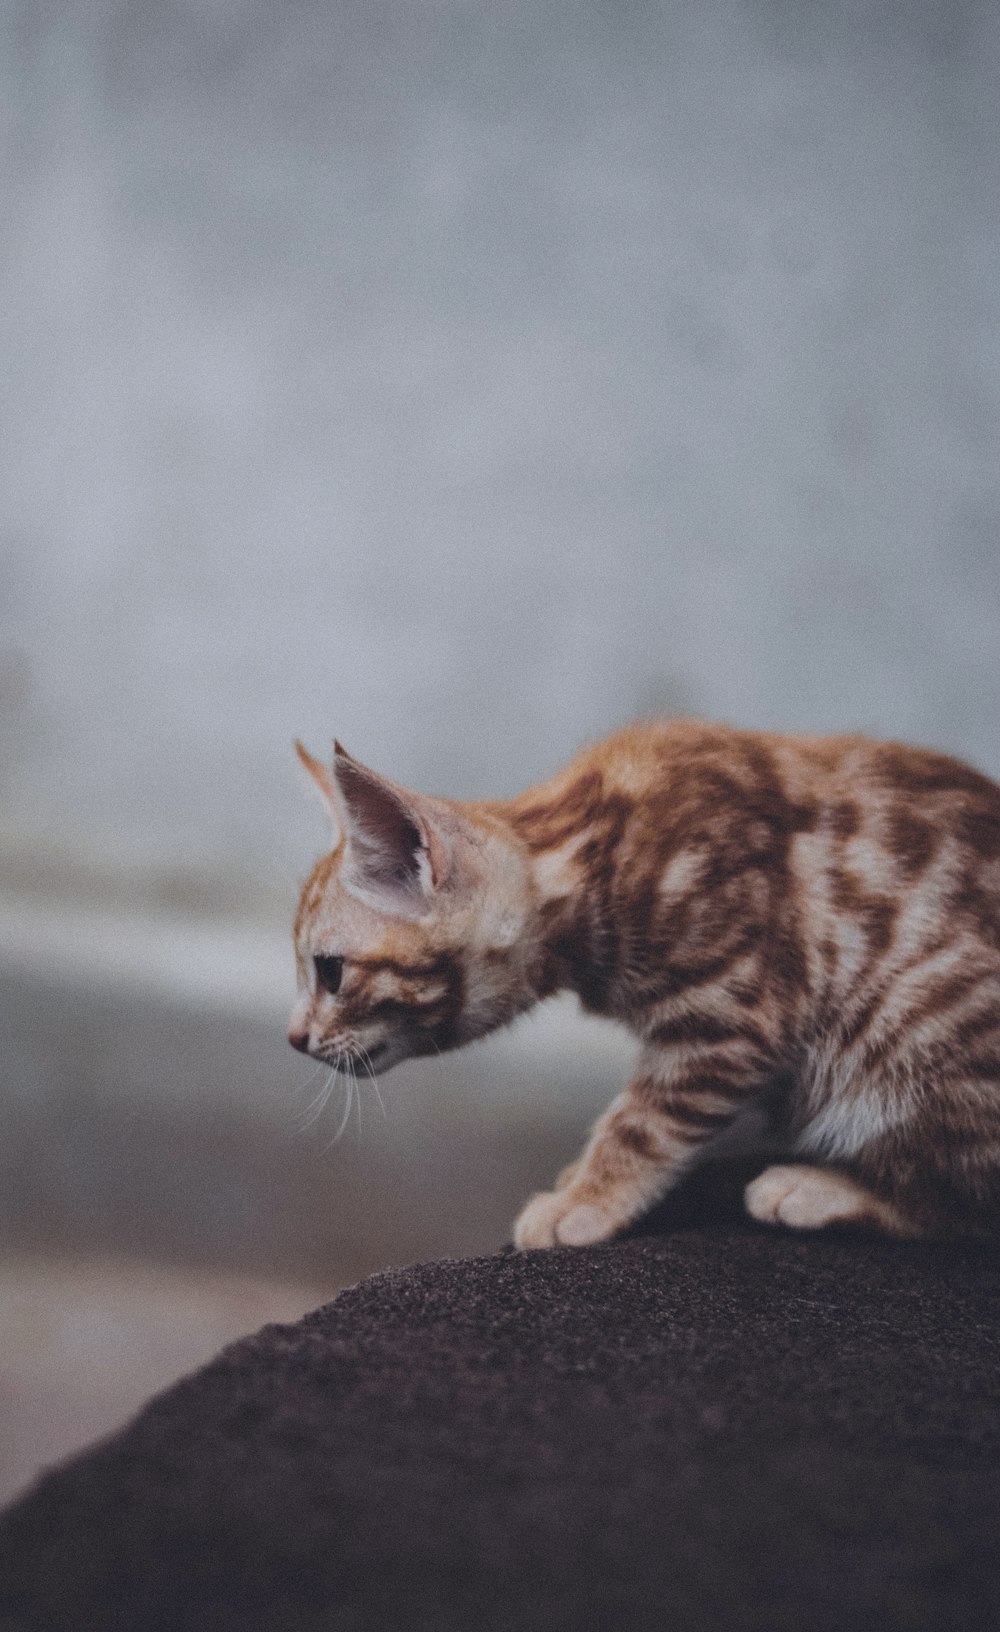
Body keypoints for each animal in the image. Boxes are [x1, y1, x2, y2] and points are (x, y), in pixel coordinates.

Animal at [288, 721, 998, 1240]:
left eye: (330, 971)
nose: (294, 1038)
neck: (587, 848)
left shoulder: (733, 1016)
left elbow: (644, 1120)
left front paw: (585, 1200)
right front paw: (581, 1177)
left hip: (916, 1022)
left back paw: (823, 1188)